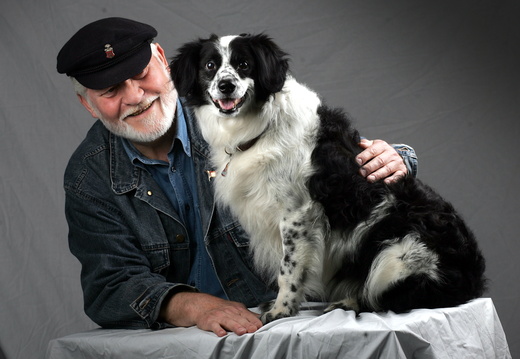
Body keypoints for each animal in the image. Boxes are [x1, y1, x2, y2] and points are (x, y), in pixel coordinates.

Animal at [171, 35, 488, 324]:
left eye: (244, 64)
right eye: (210, 65)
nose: (226, 85)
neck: (260, 126)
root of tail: (473, 280)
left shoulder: (297, 215)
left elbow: (288, 269)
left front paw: (282, 310)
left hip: (395, 258)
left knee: (389, 297)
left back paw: (348, 302)